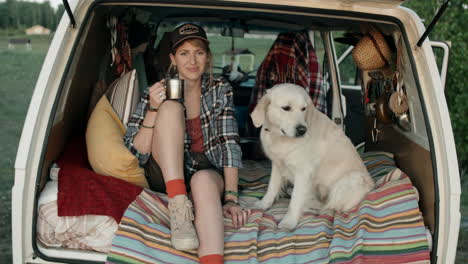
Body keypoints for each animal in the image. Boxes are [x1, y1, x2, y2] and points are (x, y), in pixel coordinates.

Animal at [250, 83, 374, 230]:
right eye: (286, 108)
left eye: (303, 109)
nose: (302, 130)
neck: (280, 137)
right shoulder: (277, 164)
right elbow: (272, 187)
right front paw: (264, 204)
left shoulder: (303, 172)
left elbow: (295, 200)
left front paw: (288, 222)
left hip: (353, 179)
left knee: (328, 207)